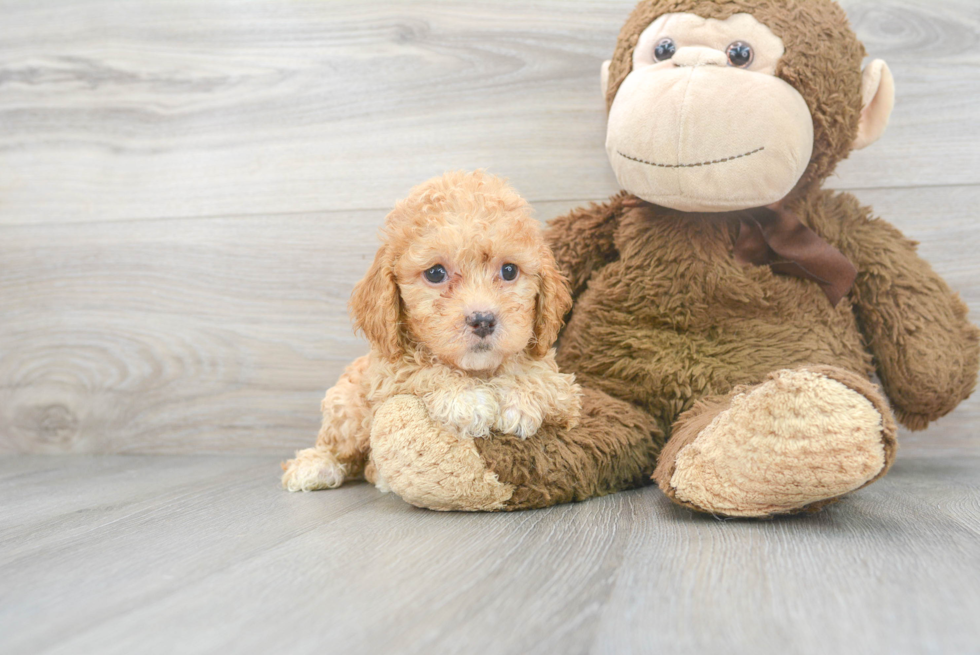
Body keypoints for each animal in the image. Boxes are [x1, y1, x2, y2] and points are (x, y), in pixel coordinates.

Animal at [280, 169, 580, 492]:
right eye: (436, 273)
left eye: (509, 271)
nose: (483, 320)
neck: (478, 370)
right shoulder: (387, 372)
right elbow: (421, 369)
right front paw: (469, 400)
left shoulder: (569, 396)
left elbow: (545, 380)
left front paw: (519, 399)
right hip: (347, 405)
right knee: (339, 446)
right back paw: (316, 465)